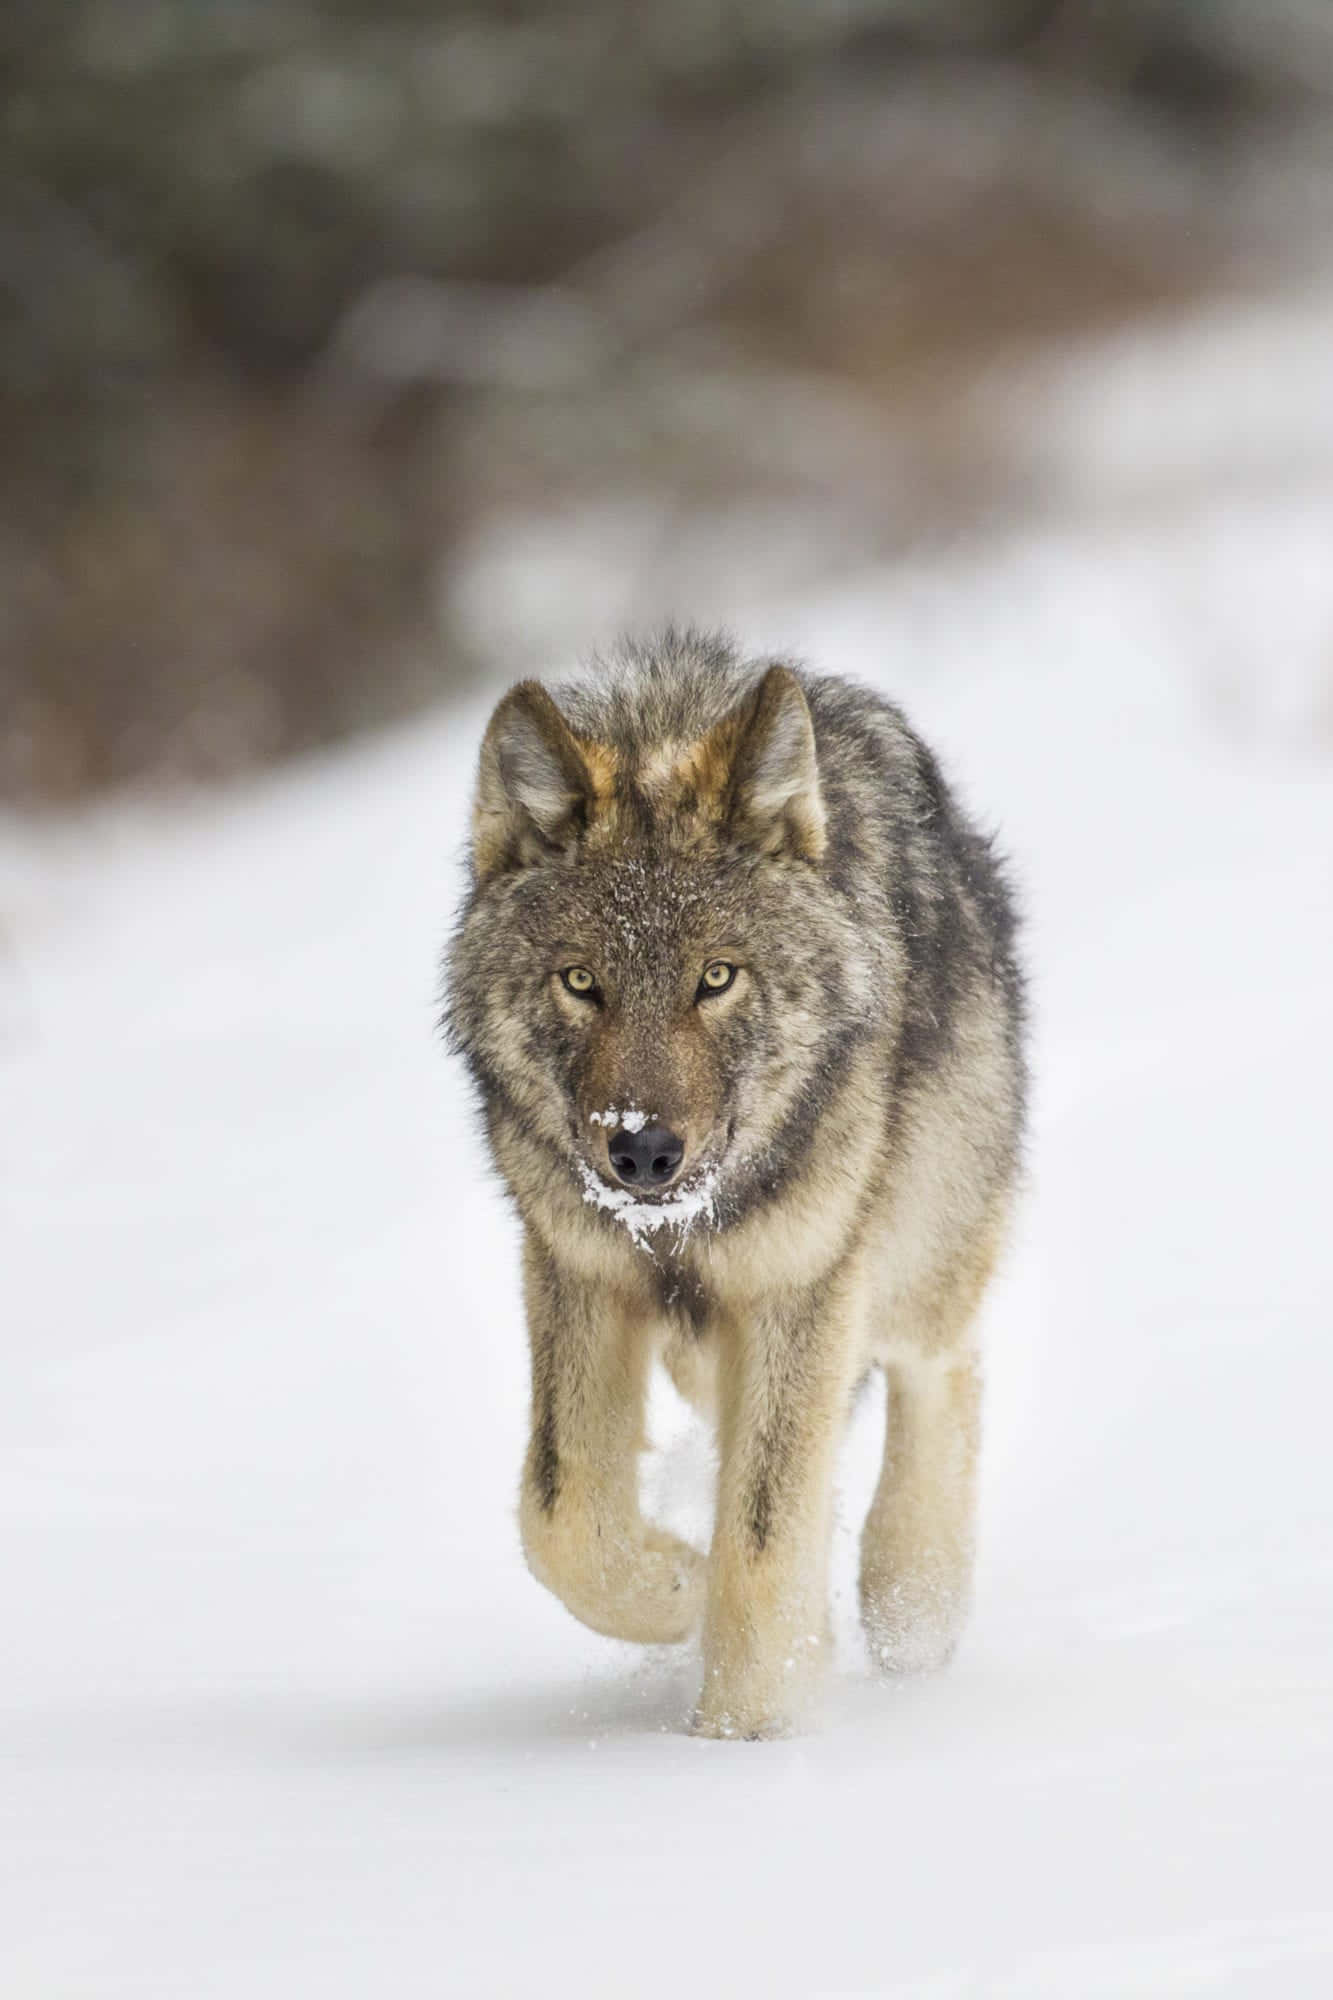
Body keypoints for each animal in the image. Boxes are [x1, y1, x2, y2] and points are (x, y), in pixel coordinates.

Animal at [446, 629, 1025, 1737]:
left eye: (716, 979)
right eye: (580, 982)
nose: (639, 1152)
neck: (679, 1232)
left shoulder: (798, 1286)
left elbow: (762, 1538)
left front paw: (742, 1738)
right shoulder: (578, 1273)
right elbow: (562, 1516)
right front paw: (679, 1586)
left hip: (920, 1239)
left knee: (943, 1364)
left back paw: (913, 1601)